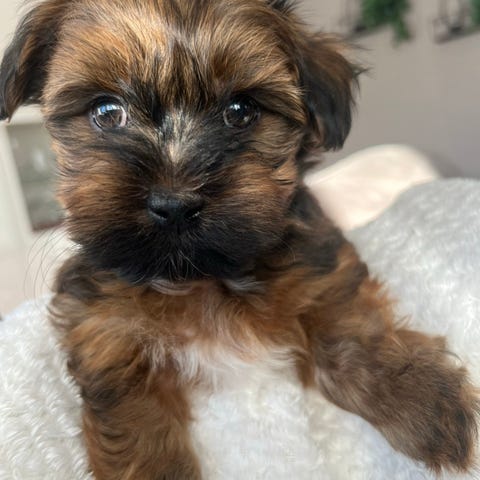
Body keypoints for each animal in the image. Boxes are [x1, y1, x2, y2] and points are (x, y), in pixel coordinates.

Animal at [1, 1, 478, 478]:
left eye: (241, 109)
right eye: (106, 112)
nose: (175, 203)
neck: (199, 275)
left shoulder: (321, 265)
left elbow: (350, 325)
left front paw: (423, 401)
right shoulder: (104, 329)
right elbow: (136, 424)